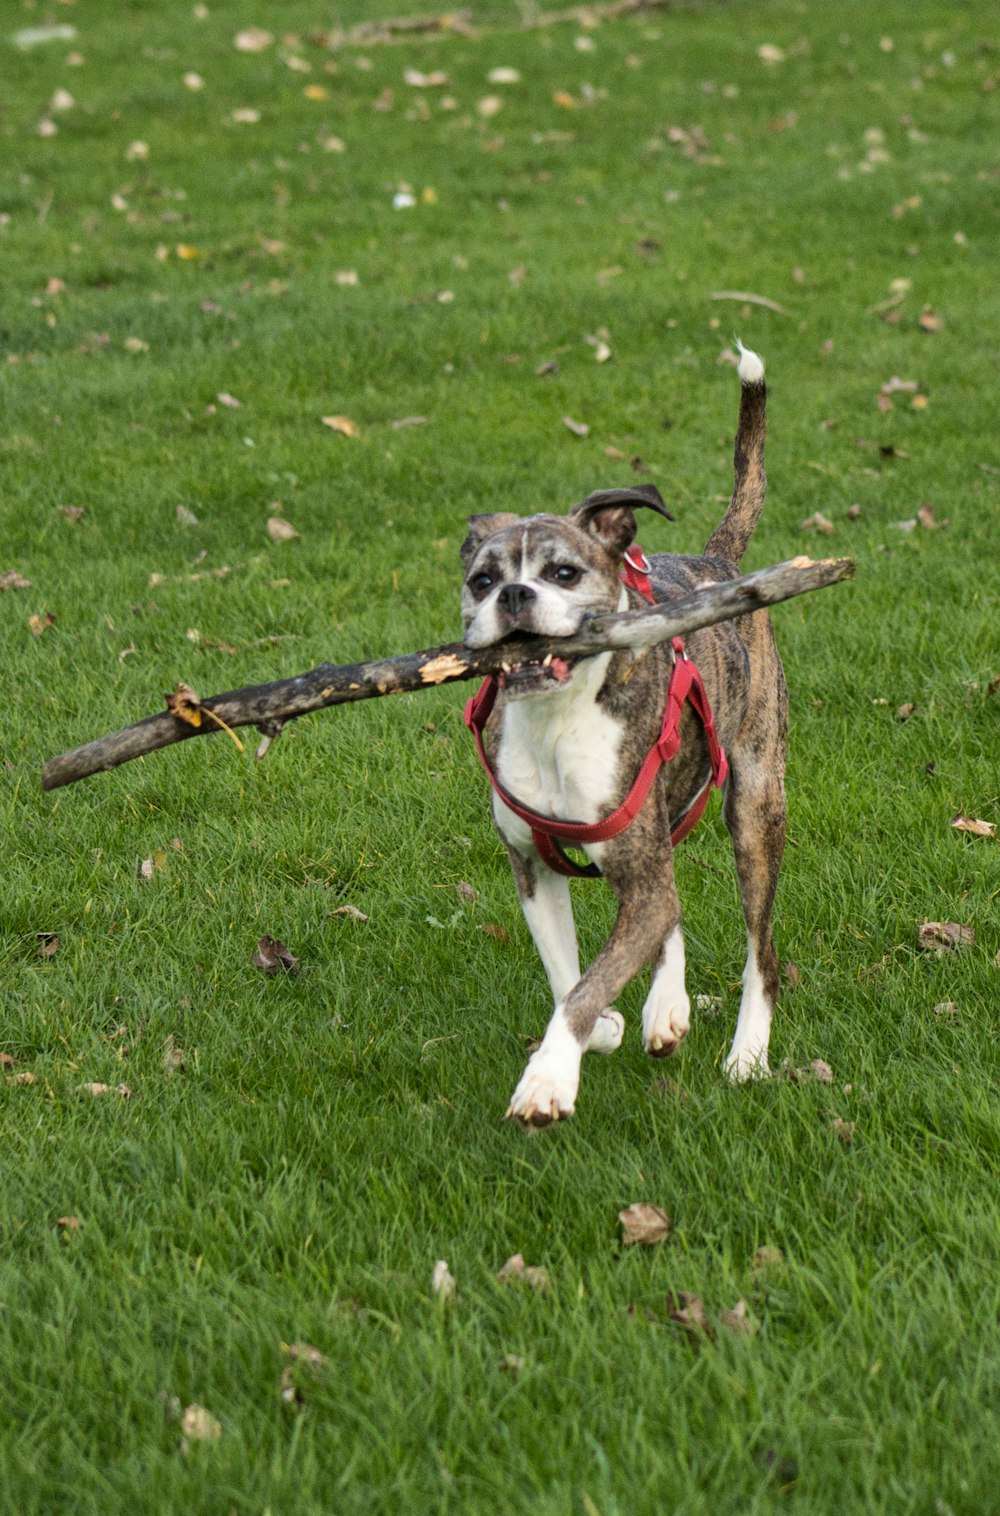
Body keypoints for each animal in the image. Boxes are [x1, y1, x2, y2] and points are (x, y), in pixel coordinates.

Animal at [463, 347, 787, 1127]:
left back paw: (748, 1054)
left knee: (758, 949)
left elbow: (590, 981)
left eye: (563, 572)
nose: (513, 595)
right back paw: (665, 1010)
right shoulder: (533, 867)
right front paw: (605, 1028)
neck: (555, 718)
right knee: (668, 905)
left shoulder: (637, 870)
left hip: (756, 806)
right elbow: (571, 976)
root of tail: (718, 563)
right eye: (481, 580)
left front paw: (548, 1078)